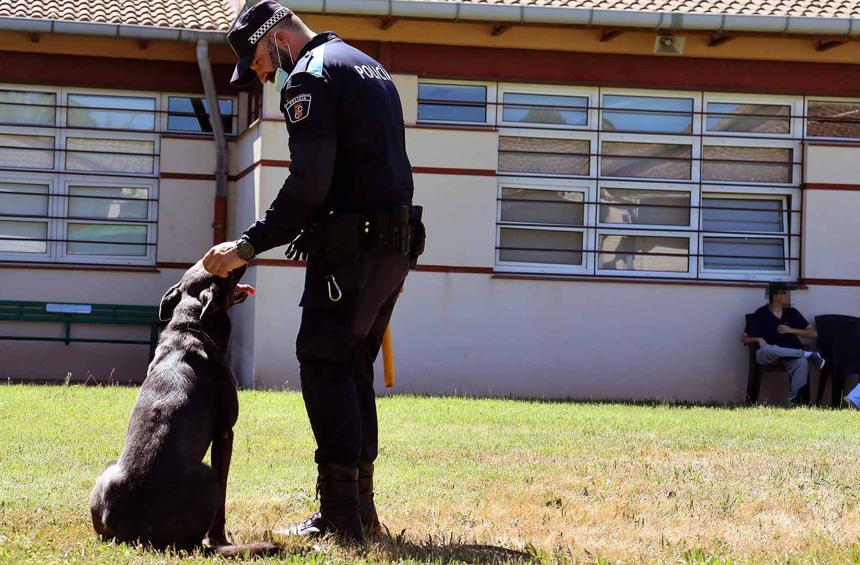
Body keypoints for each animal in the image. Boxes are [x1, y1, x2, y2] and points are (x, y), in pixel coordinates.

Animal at [93, 264, 256, 552]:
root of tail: (134, 531)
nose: (244, 260)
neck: (189, 327)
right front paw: (220, 536)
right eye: (227, 273)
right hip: (208, 477)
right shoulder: (225, 431)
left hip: (108, 470)